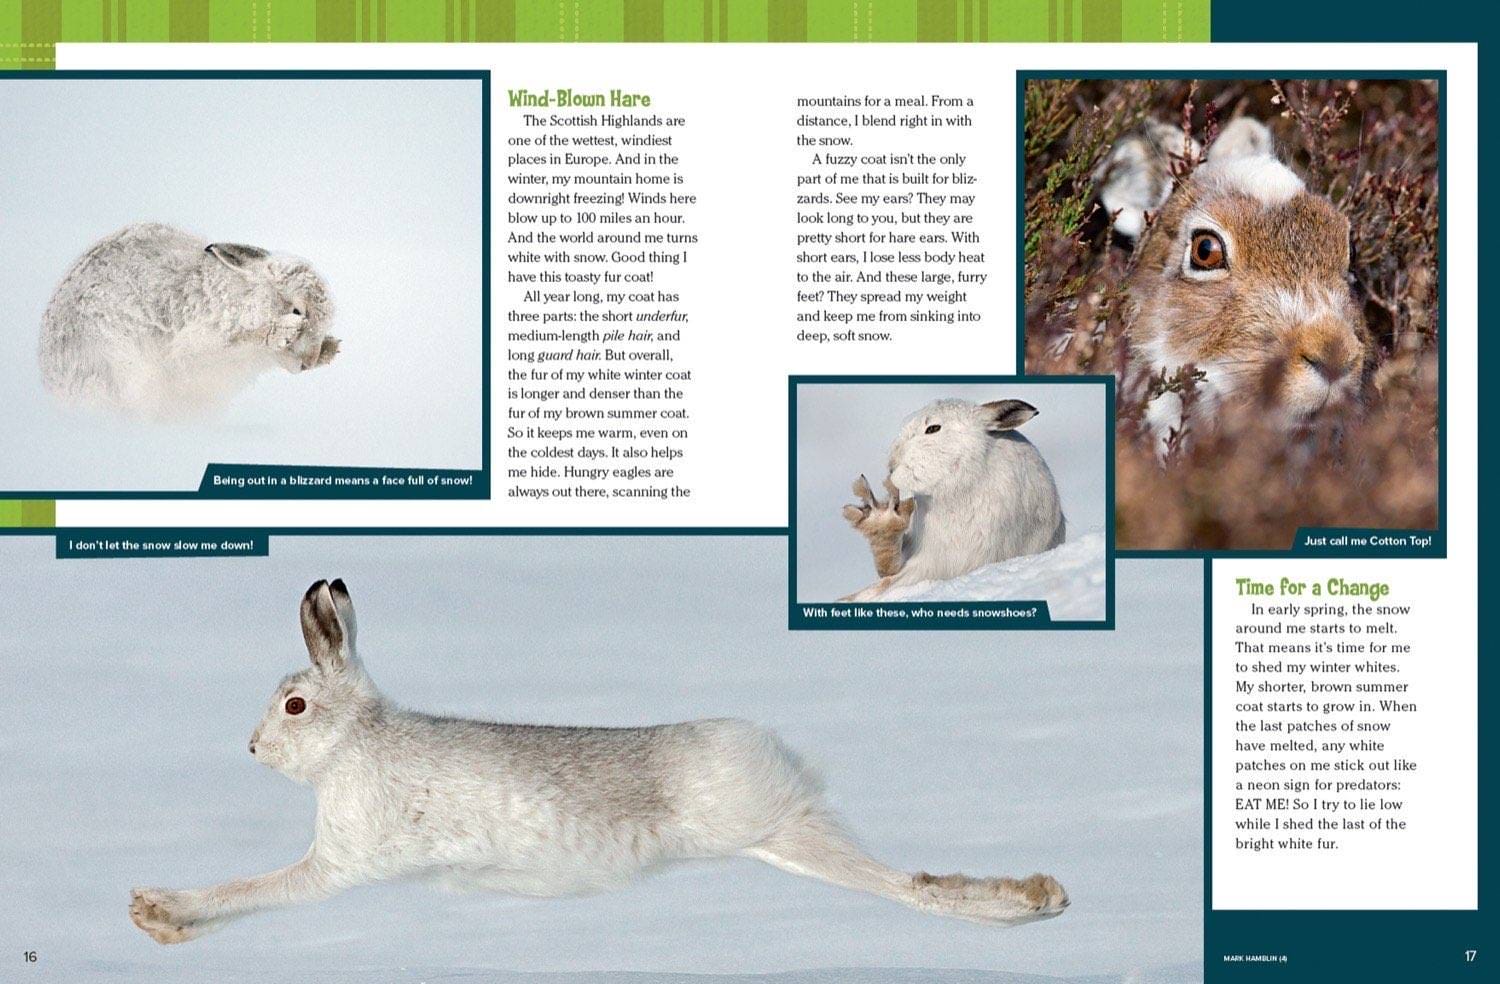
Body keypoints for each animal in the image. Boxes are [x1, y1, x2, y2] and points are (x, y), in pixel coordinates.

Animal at [128, 579, 1068, 945]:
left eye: (293, 706)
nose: (252, 747)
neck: (356, 740)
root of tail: (771, 750)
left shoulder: (337, 864)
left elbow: (256, 891)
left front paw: (159, 915)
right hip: (782, 838)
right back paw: (1038, 902)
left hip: (769, 829)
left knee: (903, 886)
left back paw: (1034, 901)